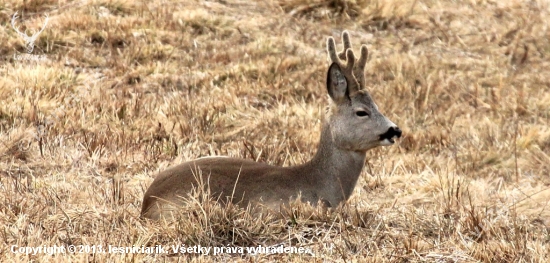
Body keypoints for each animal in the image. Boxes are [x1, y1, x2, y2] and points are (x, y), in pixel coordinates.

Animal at [140, 31, 404, 221]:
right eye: (361, 112)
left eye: (376, 104)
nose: (395, 130)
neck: (319, 184)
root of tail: (147, 201)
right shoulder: (275, 208)